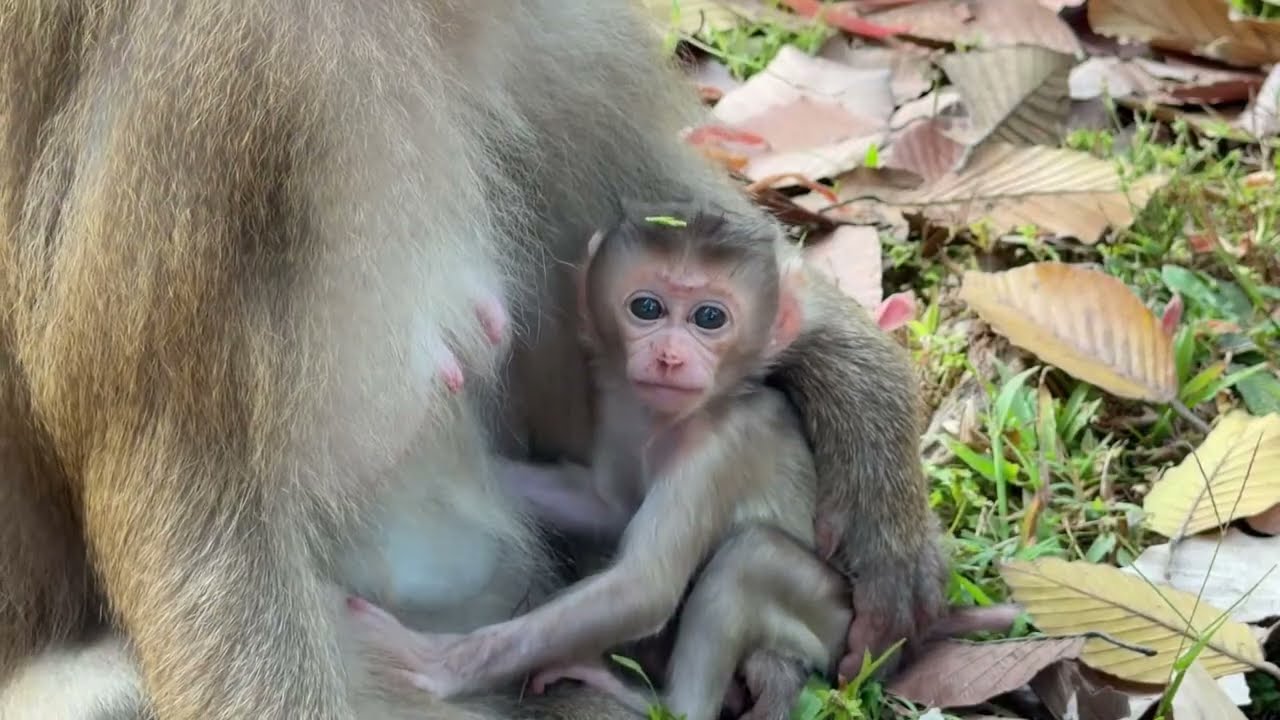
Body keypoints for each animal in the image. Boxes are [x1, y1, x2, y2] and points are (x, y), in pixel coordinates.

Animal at [345, 202, 854, 720]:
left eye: (710, 317)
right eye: (646, 308)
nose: (669, 357)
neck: (677, 420)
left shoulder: (719, 449)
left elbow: (643, 588)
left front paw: (445, 663)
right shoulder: (619, 402)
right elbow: (607, 508)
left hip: (827, 615)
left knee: (750, 556)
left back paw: (660, 700)